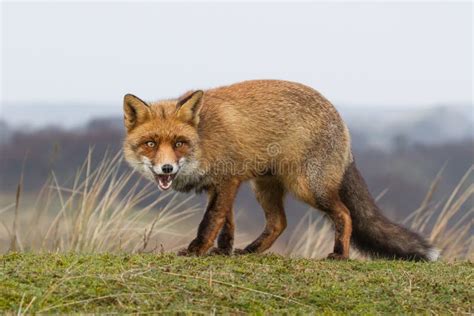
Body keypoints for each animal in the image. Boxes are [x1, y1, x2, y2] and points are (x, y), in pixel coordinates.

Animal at [123, 79, 440, 262]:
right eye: (150, 143)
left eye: (179, 143)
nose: (166, 167)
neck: (204, 137)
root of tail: (340, 118)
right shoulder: (224, 185)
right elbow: (227, 224)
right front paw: (223, 251)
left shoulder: (227, 180)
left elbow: (210, 221)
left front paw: (195, 251)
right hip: (264, 187)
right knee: (279, 223)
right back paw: (251, 251)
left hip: (308, 187)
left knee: (345, 214)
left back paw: (340, 254)